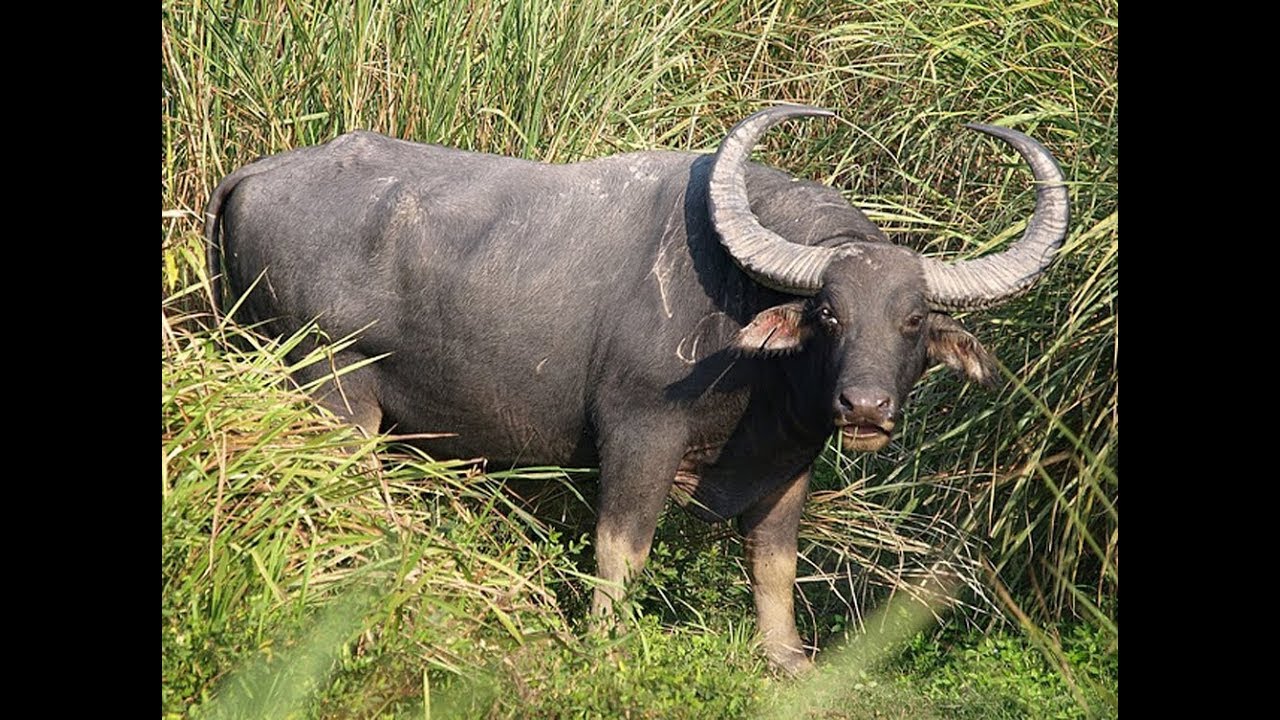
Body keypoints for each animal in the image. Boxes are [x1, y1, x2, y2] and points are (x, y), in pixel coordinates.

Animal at [204, 103, 1070, 671]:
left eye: (914, 319)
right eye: (829, 311)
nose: (864, 408)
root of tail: (254, 173)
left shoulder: (789, 460)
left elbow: (775, 563)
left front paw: (788, 661)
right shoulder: (641, 432)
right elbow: (623, 547)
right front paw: (607, 646)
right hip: (330, 386)